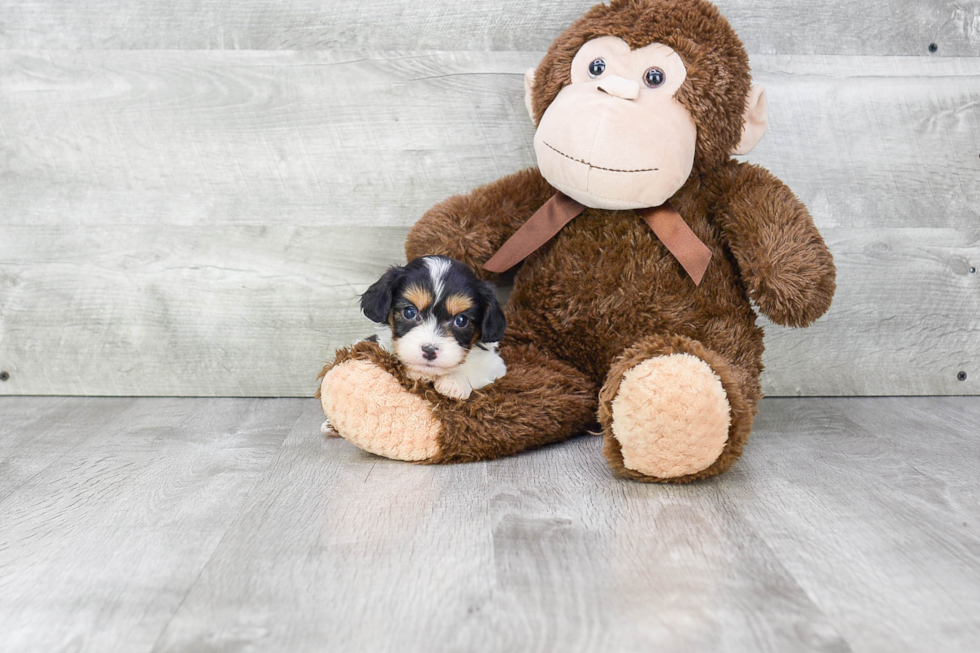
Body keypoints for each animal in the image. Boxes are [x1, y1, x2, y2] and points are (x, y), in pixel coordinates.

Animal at [360, 256, 510, 400]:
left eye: (461, 320)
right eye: (409, 312)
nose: (430, 350)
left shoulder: (496, 364)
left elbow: (477, 367)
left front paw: (454, 381)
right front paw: (417, 373)